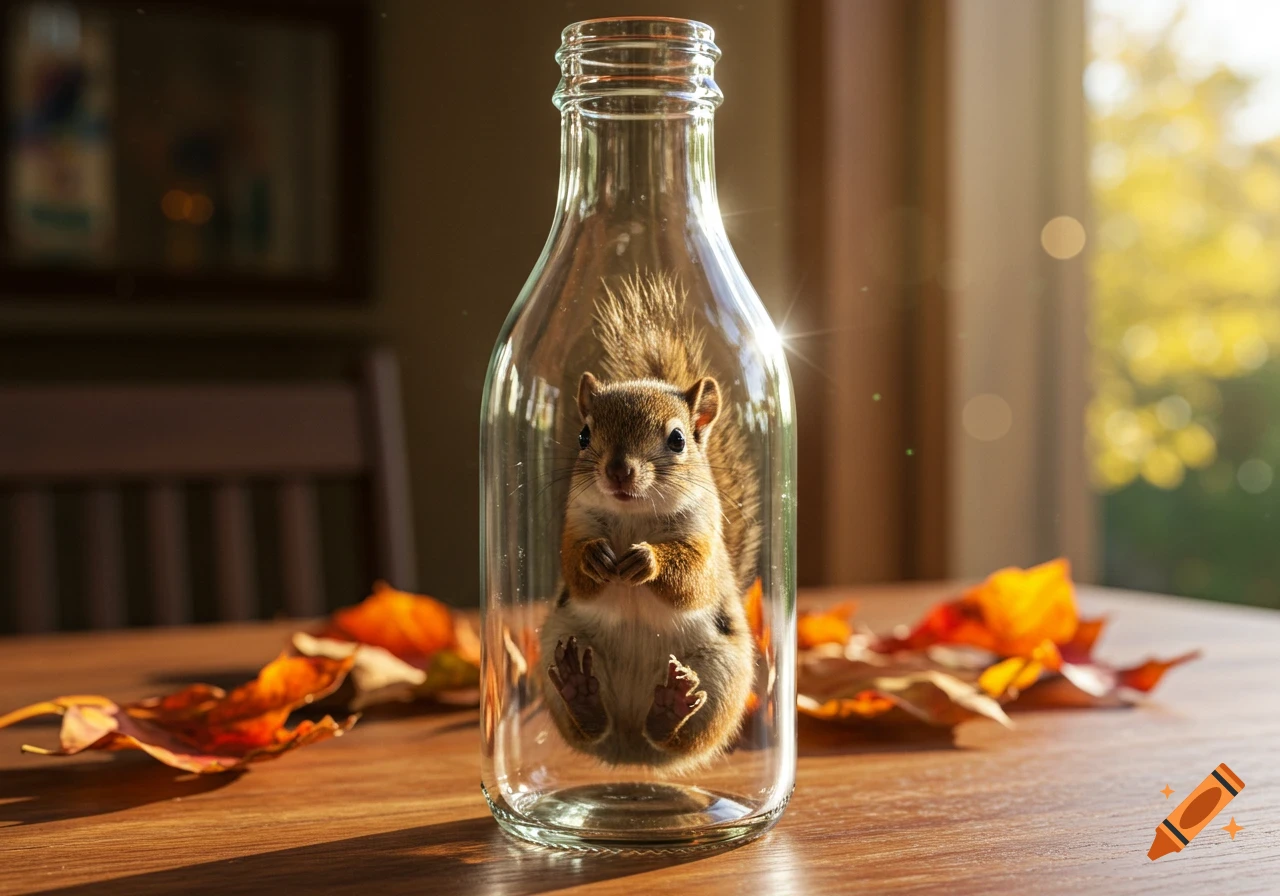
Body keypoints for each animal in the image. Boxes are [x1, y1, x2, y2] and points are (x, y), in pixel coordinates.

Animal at [540, 271, 761, 773]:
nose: (618, 471)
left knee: (678, 741)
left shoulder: (705, 542)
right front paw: (595, 558)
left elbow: (692, 579)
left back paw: (670, 708)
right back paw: (581, 694)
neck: (633, 518)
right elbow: (574, 569)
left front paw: (649, 562)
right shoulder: (573, 527)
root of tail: (629, 749)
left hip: (720, 680)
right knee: (589, 729)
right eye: (584, 435)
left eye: (678, 439)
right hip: (560, 644)